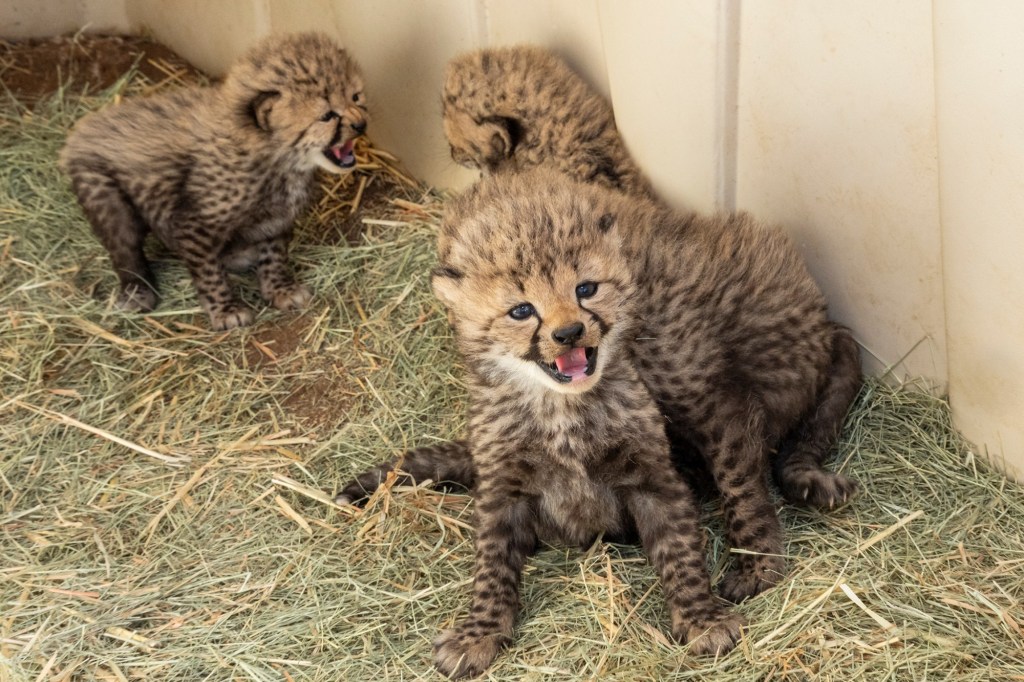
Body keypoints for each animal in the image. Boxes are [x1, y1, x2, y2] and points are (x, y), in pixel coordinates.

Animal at [60, 31, 367, 330]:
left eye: (355, 97)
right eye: (327, 116)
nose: (361, 125)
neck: (274, 156)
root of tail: (84, 126)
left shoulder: (276, 220)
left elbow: (274, 256)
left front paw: (281, 289)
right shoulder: (195, 226)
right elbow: (209, 272)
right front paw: (227, 310)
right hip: (105, 198)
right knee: (125, 251)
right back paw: (137, 291)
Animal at [337, 169, 861, 677]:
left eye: (585, 289)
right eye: (521, 309)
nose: (569, 332)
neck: (560, 407)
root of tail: (821, 315)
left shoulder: (693, 425)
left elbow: (723, 504)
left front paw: (734, 587)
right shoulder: (504, 485)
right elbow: (491, 561)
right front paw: (478, 633)